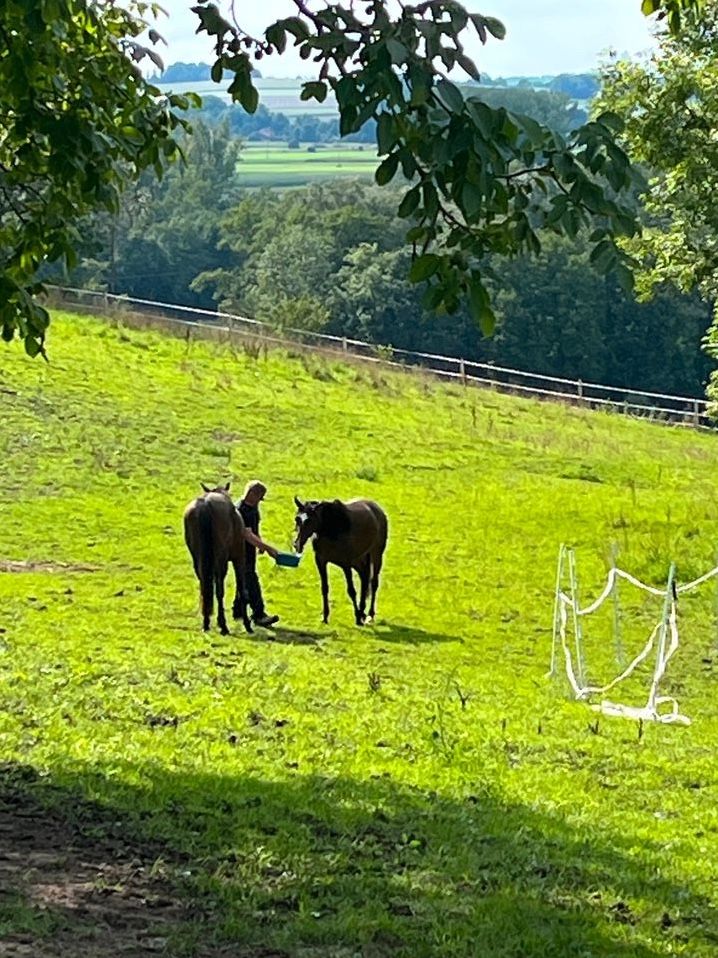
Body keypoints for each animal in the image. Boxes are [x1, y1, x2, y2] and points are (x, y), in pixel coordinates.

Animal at [183, 480, 253, 636]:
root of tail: (204, 504)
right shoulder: (239, 558)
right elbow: (242, 589)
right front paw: (247, 623)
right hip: (221, 559)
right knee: (219, 590)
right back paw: (223, 625)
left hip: (198, 559)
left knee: (205, 587)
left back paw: (206, 623)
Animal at [294, 498, 388, 628]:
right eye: (297, 519)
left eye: (309, 520)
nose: (297, 544)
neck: (332, 528)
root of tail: (377, 509)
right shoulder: (321, 562)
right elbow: (325, 588)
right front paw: (325, 617)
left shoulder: (346, 564)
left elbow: (351, 591)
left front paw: (358, 618)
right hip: (359, 560)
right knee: (364, 579)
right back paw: (362, 611)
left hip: (376, 554)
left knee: (373, 583)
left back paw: (369, 615)